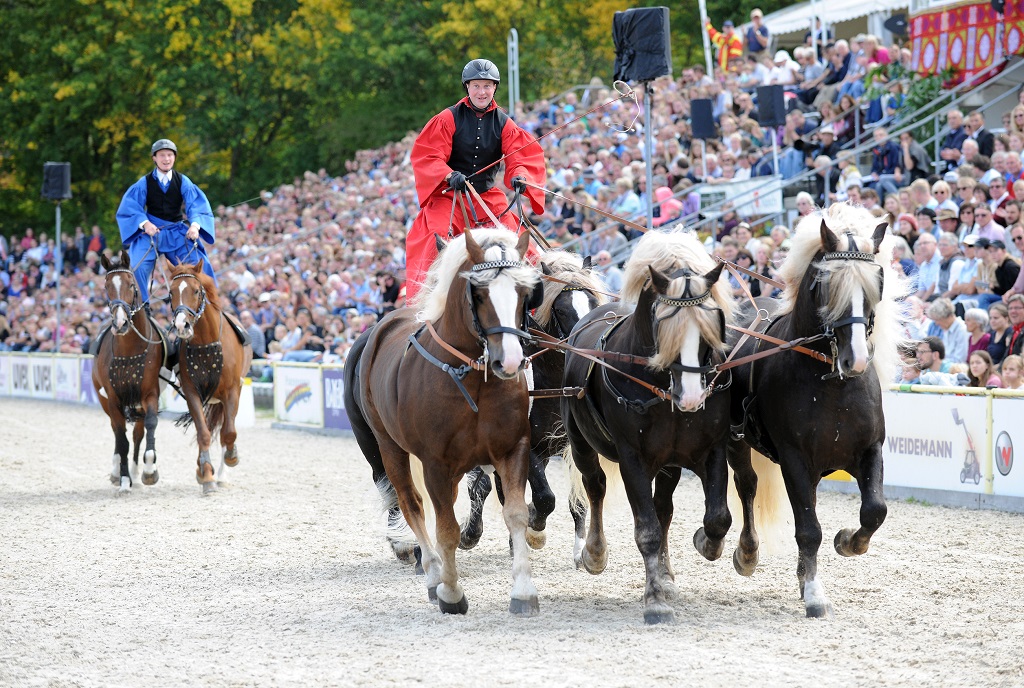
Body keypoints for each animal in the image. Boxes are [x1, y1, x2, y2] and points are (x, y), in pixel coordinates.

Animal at [93, 249, 168, 491]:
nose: (120, 323)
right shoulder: (113, 399)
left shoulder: (149, 394)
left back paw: (134, 470)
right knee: (118, 434)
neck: (129, 348)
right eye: (107, 286)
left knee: (137, 433)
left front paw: (149, 470)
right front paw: (124, 480)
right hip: (105, 400)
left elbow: (149, 426)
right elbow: (121, 438)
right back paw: (118, 471)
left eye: (131, 284)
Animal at [167, 259, 253, 495]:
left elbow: (229, 433)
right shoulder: (192, 392)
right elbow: (203, 432)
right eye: (170, 293)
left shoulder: (232, 392)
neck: (206, 344)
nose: (181, 325)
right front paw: (205, 474)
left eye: (196, 291)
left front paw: (231, 458)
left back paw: (223, 473)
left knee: (225, 429)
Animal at [344, 228, 548, 614]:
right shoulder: (436, 464)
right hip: (388, 449)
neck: (473, 379)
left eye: (524, 293)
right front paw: (451, 593)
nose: (510, 361)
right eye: (479, 293)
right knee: (411, 505)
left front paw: (524, 591)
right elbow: (446, 529)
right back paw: (433, 573)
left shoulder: (513, 450)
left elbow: (515, 514)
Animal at [456, 249, 606, 552]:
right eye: (561, 309)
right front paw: (535, 529)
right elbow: (545, 498)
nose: (588, 351)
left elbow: (578, 498)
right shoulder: (528, 448)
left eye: (594, 302)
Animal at [561, 231, 737, 622]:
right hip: (581, 442)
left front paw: (703, 543)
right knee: (595, 487)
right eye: (662, 323)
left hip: (669, 464)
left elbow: (718, 517)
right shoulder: (633, 460)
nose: (691, 397)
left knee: (664, 508)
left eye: (712, 324)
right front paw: (655, 599)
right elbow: (647, 530)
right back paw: (595, 552)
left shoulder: (711, 449)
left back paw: (666, 572)